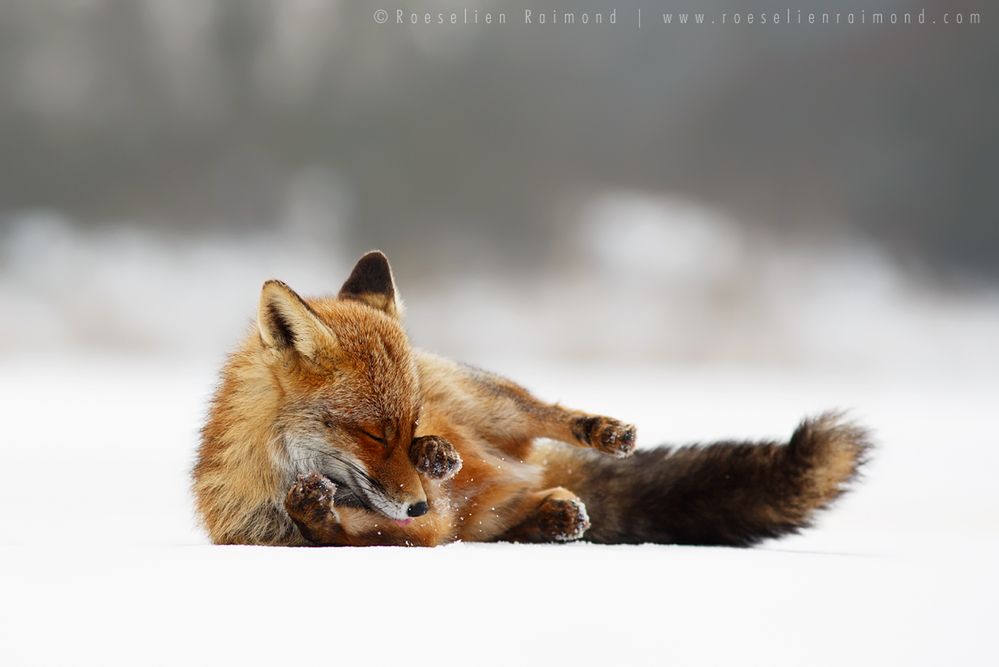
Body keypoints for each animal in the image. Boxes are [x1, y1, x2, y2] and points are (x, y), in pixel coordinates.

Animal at [191, 250, 872, 548]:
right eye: (372, 433)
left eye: (405, 425)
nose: (416, 501)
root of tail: (526, 472)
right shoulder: (410, 534)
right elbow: (338, 532)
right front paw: (316, 509)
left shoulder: (420, 520)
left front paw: (431, 455)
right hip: (491, 516)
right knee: (546, 503)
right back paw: (553, 512)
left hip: (487, 400)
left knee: (543, 413)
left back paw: (598, 433)